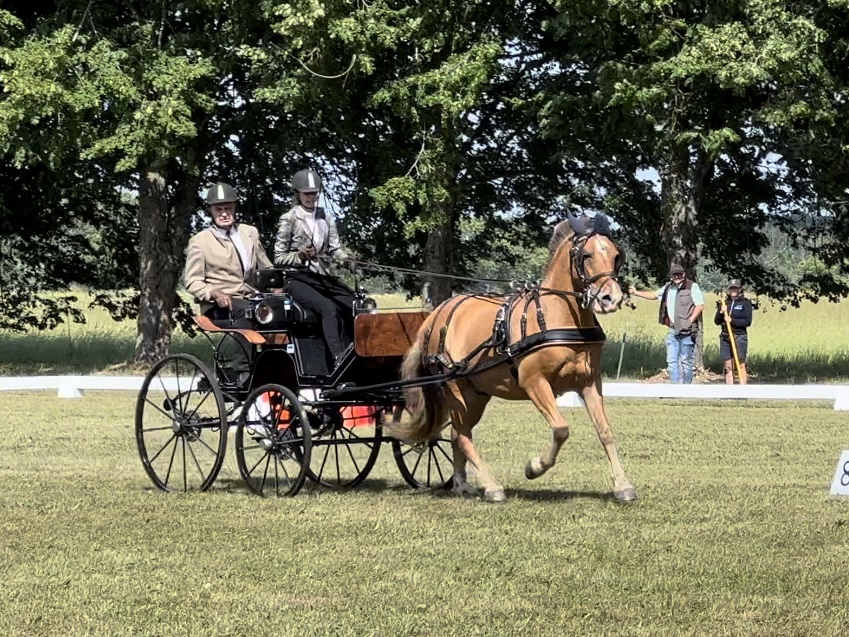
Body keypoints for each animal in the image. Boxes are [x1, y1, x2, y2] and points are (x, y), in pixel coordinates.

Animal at [390, 214, 636, 502]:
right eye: (585, 255)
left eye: (616, 255)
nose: (611, 299)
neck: (558, 316)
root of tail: (437, 315)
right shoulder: (534, 382)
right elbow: (561, 429)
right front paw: (534, 467)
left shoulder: (589, 382)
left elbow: (605, 432)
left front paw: (623, 485)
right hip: (454, 388)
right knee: (461, 435)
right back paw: (493, 487)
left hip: (476, 394)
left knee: (457, 433)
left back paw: (462, 485)